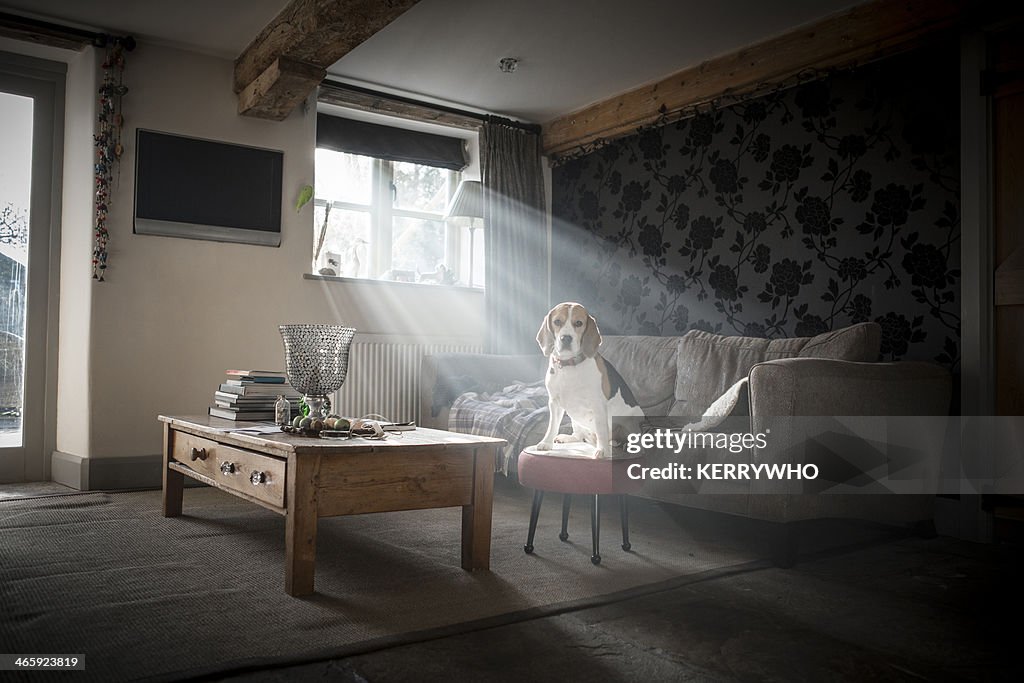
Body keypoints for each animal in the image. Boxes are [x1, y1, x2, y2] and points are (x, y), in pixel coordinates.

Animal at [536, 301, 638, 456]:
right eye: (557, 321)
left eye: (579, 323)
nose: (566, 338)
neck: (569, 365)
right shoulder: (554, 403)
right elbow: (552, 425)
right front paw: (546, 442)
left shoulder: (598, 405)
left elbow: (601, 429)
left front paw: (602, 451)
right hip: (575, 420)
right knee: (579, 436)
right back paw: (568, 438)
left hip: (631, 421)